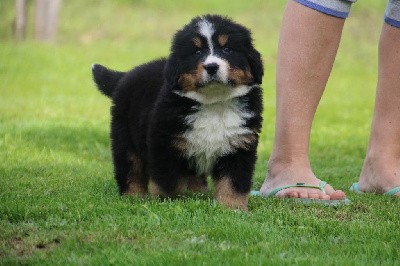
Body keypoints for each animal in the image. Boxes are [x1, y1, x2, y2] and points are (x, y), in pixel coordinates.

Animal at [92, 14, 264, 210]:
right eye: (197, 52)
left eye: (227, 49)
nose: (212, 67)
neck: (214, 103)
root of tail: (126, 75)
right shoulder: (165, 144)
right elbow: (169, 181)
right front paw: (169, 203)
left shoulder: (239, 146)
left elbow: (233, 183)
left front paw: (232, 208)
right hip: (125, 138)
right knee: (130, 170)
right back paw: (133, 197)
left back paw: (197, 193)